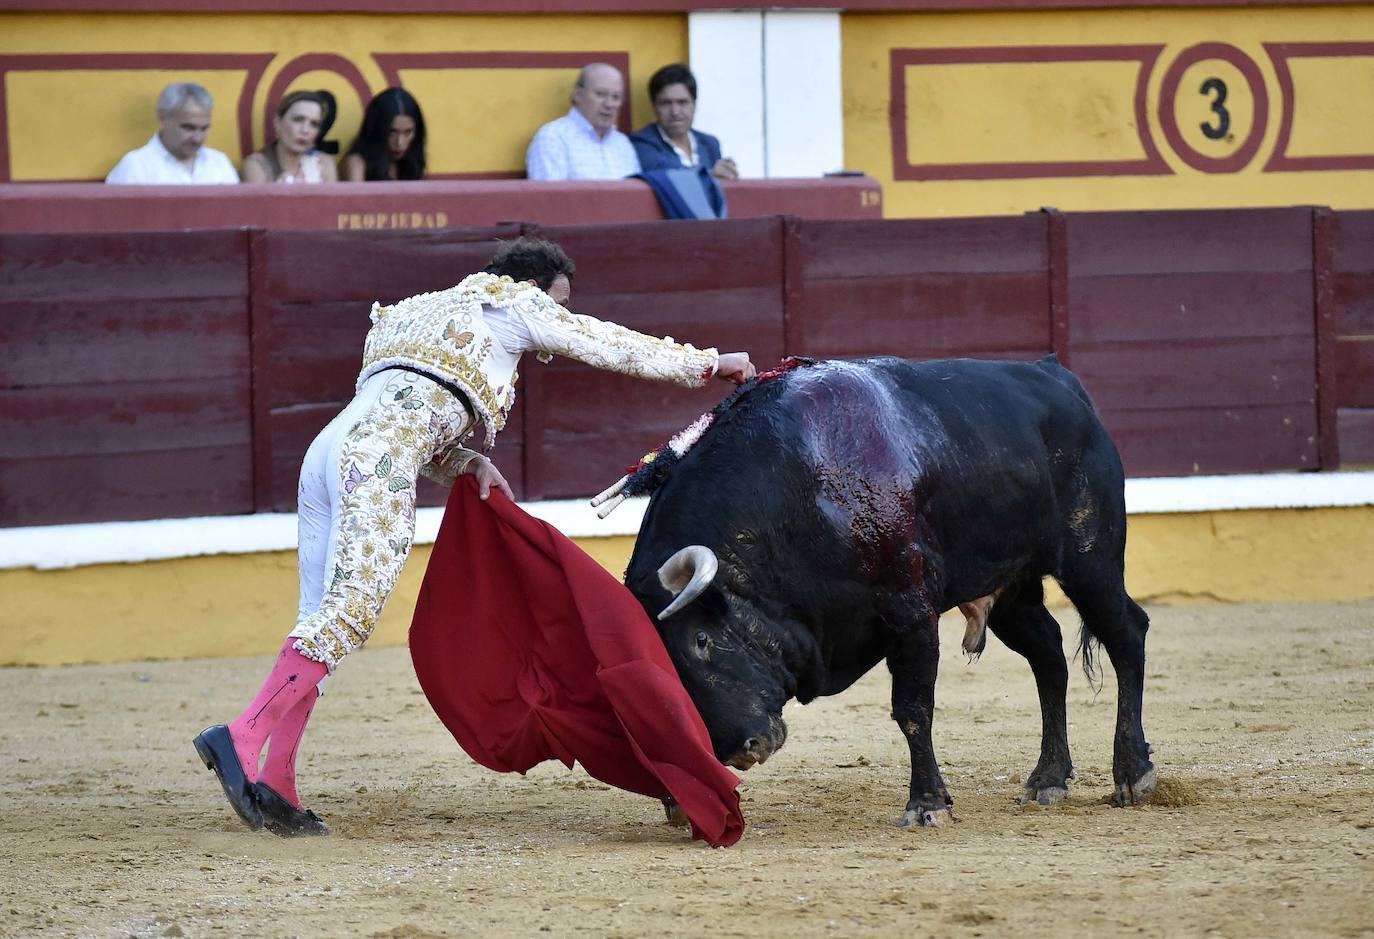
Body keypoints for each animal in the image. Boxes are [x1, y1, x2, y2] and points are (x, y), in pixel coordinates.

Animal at [629, 357, 1154, 824]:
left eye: (701, 640)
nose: (742, 750)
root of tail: (1057, 376)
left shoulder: (910, 612)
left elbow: (912, 710)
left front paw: (926, 804)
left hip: (1091, 560)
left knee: (1127, 635)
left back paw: (1132, 773)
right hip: (1011, 587)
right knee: (1048, 657)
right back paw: (1048, 779)